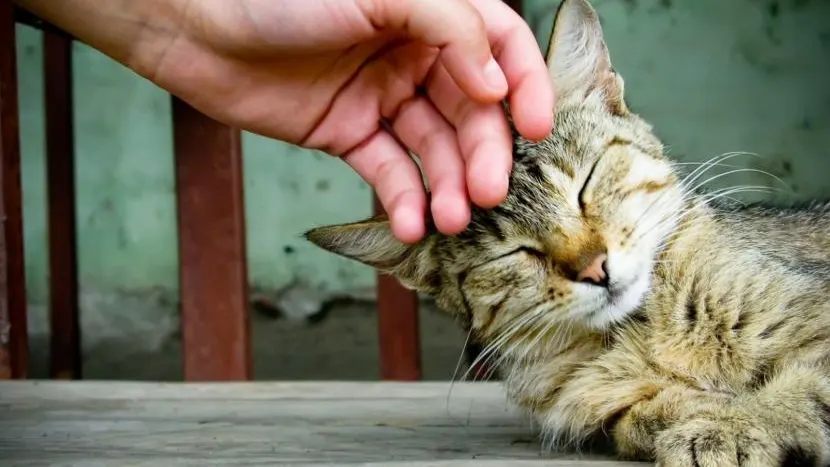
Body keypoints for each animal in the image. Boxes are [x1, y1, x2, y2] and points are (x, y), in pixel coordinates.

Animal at [306, 1, 830, 466]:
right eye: (512, 253)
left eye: (585, 185)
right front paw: (695, 413)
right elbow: (638, 417)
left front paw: (732, 426)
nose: (595, 268)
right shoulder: (601, 404)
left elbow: (806, 388)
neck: (639, 331)